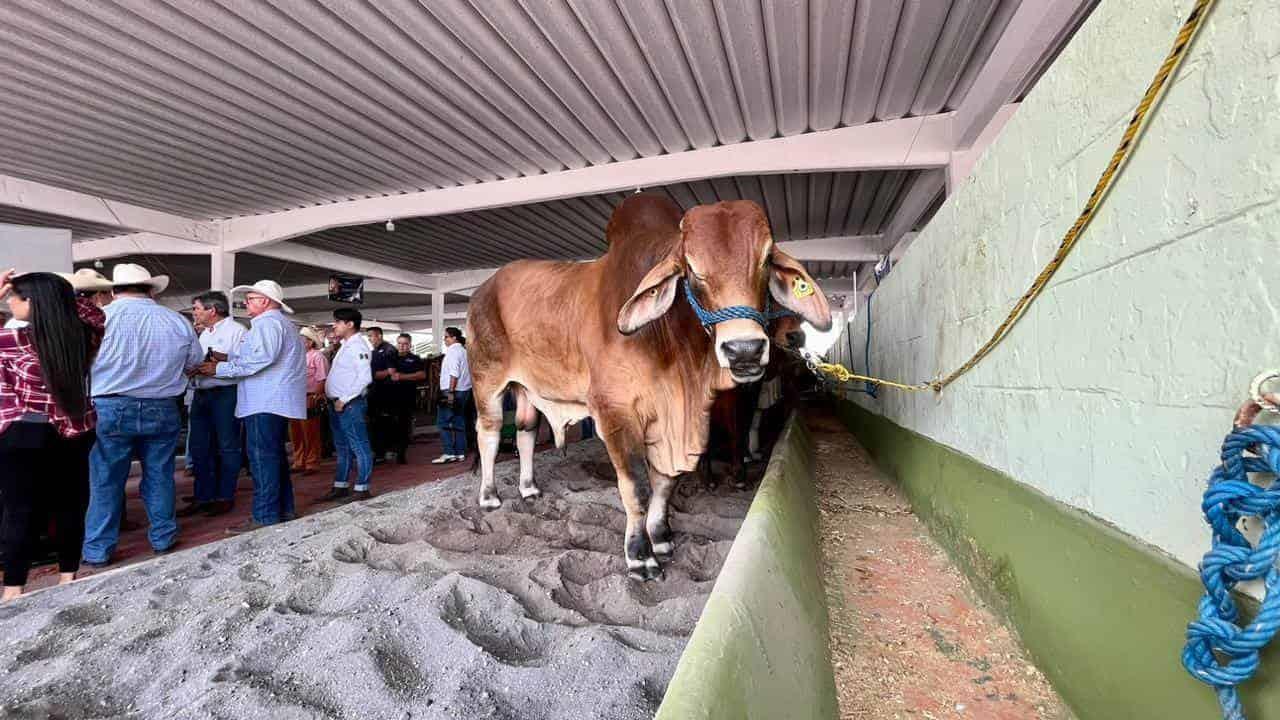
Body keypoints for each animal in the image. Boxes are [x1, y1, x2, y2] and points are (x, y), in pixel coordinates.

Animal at [465, 194, 834, 576]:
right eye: (692, 268)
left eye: (765, 260)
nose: (744, 349)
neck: (670, 345)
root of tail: (482, 290)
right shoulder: (616, 413)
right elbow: (637, 487)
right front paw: (640, 554)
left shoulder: (667, 420)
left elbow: (664, 485)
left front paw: (661, 538)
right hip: (487, 381)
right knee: (489, 433)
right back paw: (489, 496)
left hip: (526, 389)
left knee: (525, 430)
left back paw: (528, 489)